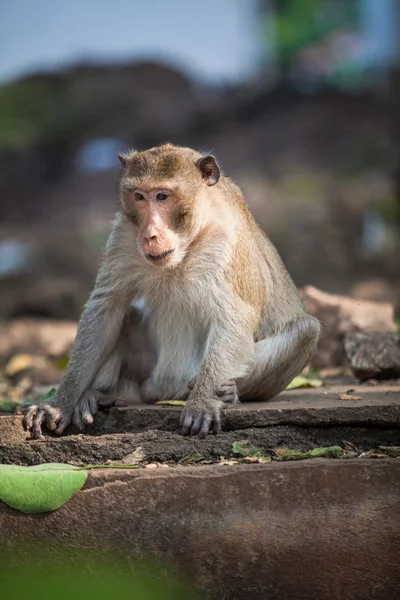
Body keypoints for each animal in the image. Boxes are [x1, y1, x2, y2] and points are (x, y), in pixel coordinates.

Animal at [18, 143, 320, 438]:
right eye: (140, 197)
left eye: (162, 196)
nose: (149, 234)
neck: (193, 238)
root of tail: (160, 390)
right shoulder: (124, 233)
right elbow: (105, 307)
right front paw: (59, 403)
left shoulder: (226, 240)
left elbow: (235, 316)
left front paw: (203, 402)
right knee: (125, 316)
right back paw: (96, 395)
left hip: (184, 383)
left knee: (306, 329)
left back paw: (228, 393)